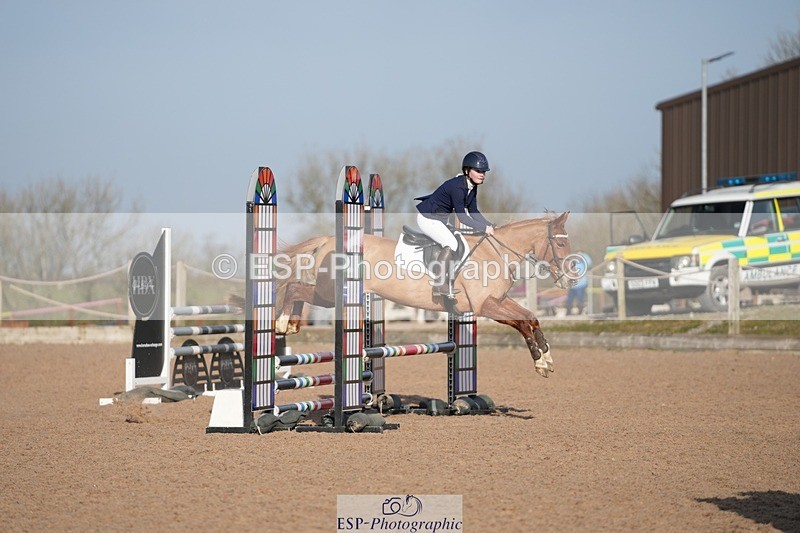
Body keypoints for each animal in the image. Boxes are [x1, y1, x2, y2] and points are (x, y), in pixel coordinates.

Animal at [273, 211, 575, 377]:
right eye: (560, 244)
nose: (571, 279)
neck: (495, 252)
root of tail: (328, 240)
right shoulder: (486, 307)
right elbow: (522, 322)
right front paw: (540, 362)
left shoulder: (498, 302)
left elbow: (531, 317)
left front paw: (547, 358)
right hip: (330, 295)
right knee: (295, 288)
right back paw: (283, 323)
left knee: (298, 289)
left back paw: (292, 324)